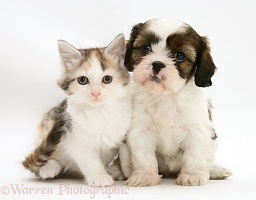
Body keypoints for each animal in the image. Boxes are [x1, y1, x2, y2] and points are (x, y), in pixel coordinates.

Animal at [22, 34, 132, 188]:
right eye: (82, 80)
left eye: (107, 79)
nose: (96, 93)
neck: (100, 112)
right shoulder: (74, 138)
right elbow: (90, 160)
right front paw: (100, 177)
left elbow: (125, 147)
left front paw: (128, 169)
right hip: (47, 124)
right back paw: (49, 168)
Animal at [124, 18, 232, 187]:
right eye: (146, 48)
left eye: (179, 56)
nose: (157, 64)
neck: (166, 96)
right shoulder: (140, 130)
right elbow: (143, 156)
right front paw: (145, 176)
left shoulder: (197, 130)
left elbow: (195, 154)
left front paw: (192, 175)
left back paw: (216, 171)